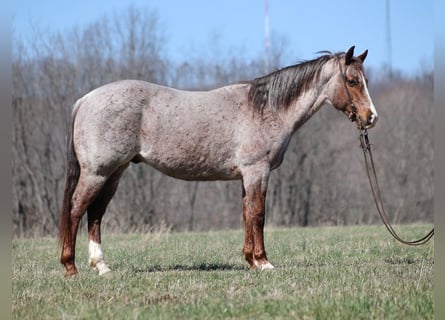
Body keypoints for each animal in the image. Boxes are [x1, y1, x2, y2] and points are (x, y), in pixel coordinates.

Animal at [59, 46, 378, 276]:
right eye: (352, 81)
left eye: (364, 81)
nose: (371, 117)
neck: (267, 109)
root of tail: (86, 99)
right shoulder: (257, 172)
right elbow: (258, 214)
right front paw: (264, 262)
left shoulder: (246, 177)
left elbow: (247, 214)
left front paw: (251, 260)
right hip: (97, 173)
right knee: (76, 210)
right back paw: (70, 267)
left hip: (114, 173)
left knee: (96, 213)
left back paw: (101, 266)